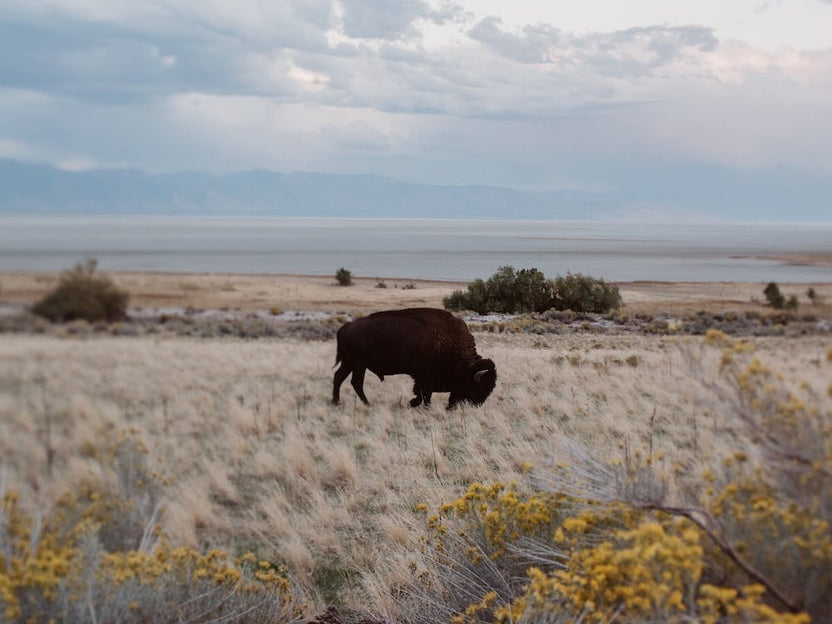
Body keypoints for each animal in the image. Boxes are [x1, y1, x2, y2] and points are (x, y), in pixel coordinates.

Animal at [332, 307, 497, 409]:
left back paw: (336, 402)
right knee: (356, 382)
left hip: (349, 363)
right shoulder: (426, 376)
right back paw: (367, 404)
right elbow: (425, 393)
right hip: (358, 364)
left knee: (339, 377)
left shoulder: (423, 377)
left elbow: (421, 392)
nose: (477, 404)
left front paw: (413, 403)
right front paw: (418, 405)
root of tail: (346, 327)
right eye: (477, 386)